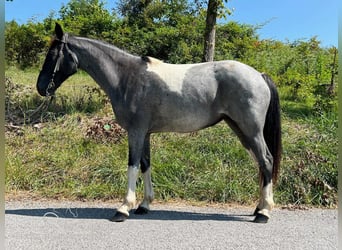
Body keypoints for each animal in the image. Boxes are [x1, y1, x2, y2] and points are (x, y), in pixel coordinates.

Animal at [38, 23, 284, 223]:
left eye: (53, 54)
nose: (41, 87)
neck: (127, 77)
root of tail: (259, 75)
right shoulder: (145, 133)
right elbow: (145, 164)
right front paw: (144, 205)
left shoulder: (136, 132)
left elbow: (132, 165)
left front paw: (123, 208)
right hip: (241, 130)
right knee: (260, 163)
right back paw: (259, 207)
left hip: (251, 130)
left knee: (266, 160)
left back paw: (264, 213)